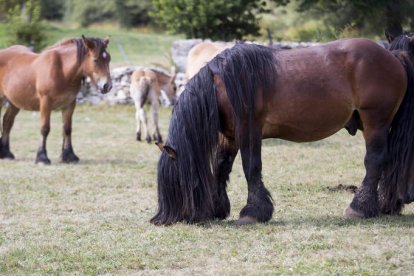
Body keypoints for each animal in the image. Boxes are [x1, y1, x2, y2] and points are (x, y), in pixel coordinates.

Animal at [0, 34, 112, 164]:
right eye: (95, 60)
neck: (62, 69)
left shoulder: (69, 104)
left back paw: (6, 153)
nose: (107, 86)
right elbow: (45, 128)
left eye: (108, 59)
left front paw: (69, 156)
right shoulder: (45, 103)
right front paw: (42, 157)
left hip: (15, 103)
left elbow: (67, 129)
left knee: (7, 122)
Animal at [151, 34, 414, 225]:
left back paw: (360, 208)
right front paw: (218, 208)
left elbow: (251, 168)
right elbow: (221, 167)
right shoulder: (230, 136)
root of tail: (393, 56)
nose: (164, 220)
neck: (223, 85)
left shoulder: (249, 131)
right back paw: (388, 204)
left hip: (375, 122)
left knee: (375, 162)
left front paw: (253, 212)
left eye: (174, 181)